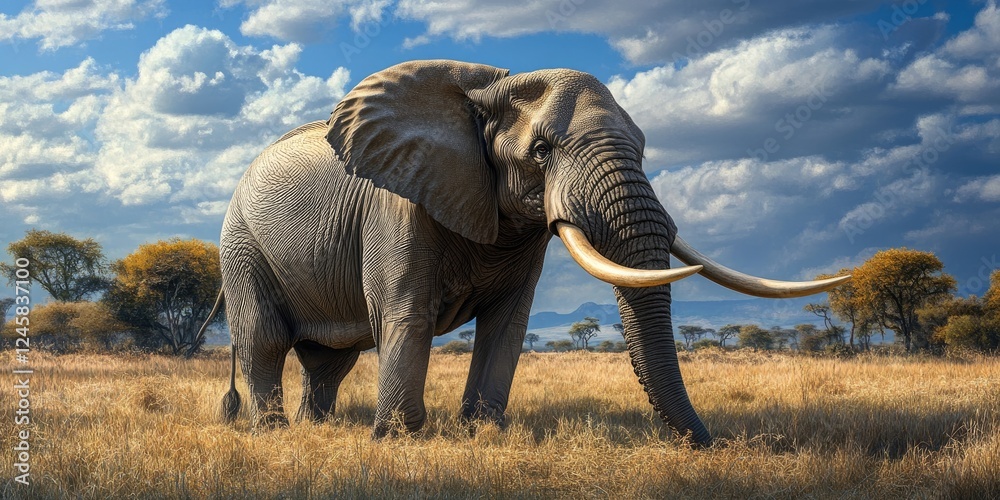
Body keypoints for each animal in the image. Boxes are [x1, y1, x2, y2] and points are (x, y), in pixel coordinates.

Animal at [205, 59, 848, 445]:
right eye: (541, 151)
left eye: (644, 148)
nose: (712, 444)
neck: (487, 89)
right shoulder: (399, 205)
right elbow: (405, 313)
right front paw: (398, 441)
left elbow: (507, 325)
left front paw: (481, 434)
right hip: (240, 244)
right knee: (266, 339)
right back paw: (271, 433)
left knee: (330, 359)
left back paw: (318, 427)